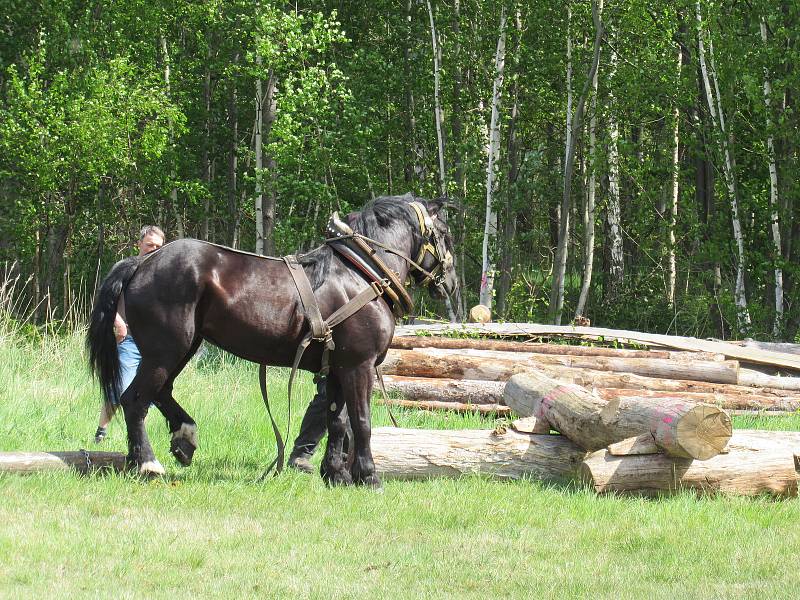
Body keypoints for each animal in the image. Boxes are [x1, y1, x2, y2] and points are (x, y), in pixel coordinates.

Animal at [86, 195, 456, 486]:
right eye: (445, 234)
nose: (450, 283)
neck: (362, 273)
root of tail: (142, 261)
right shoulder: (358, 365)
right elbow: (361, 422)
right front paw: (368, 477)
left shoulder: (338, 368)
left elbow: (337, 422)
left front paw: (336, 475)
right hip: (166, 350)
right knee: (135, 400)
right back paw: (147, 463)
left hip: (183, 347)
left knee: (160, 393)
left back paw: (182, 440)